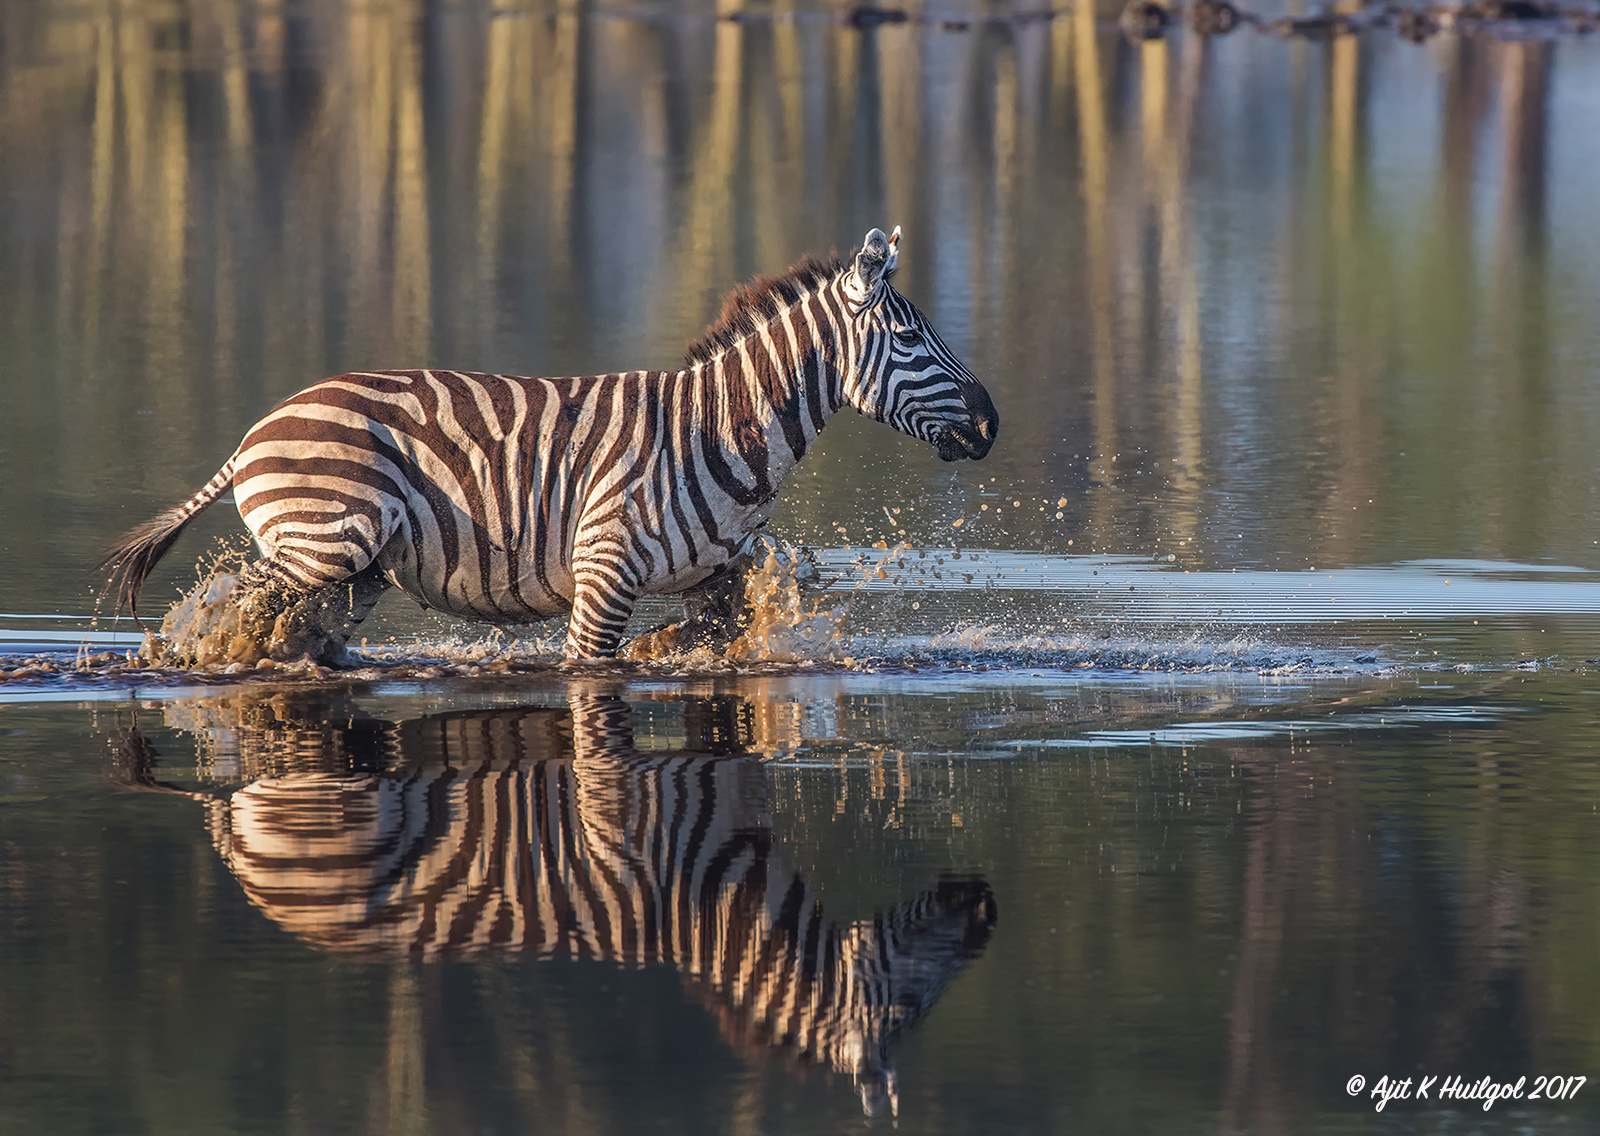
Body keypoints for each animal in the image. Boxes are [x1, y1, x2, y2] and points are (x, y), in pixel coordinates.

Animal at [99, 227, 999, 663]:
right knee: (234, 612)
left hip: (354, 574)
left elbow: (699, 642)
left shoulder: (719, 582)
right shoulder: (605, 569)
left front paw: (661, 653)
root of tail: (263, 426)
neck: (725, 430)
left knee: (292, 637)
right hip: (322, 542)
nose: (991, 422)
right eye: (911, 339)